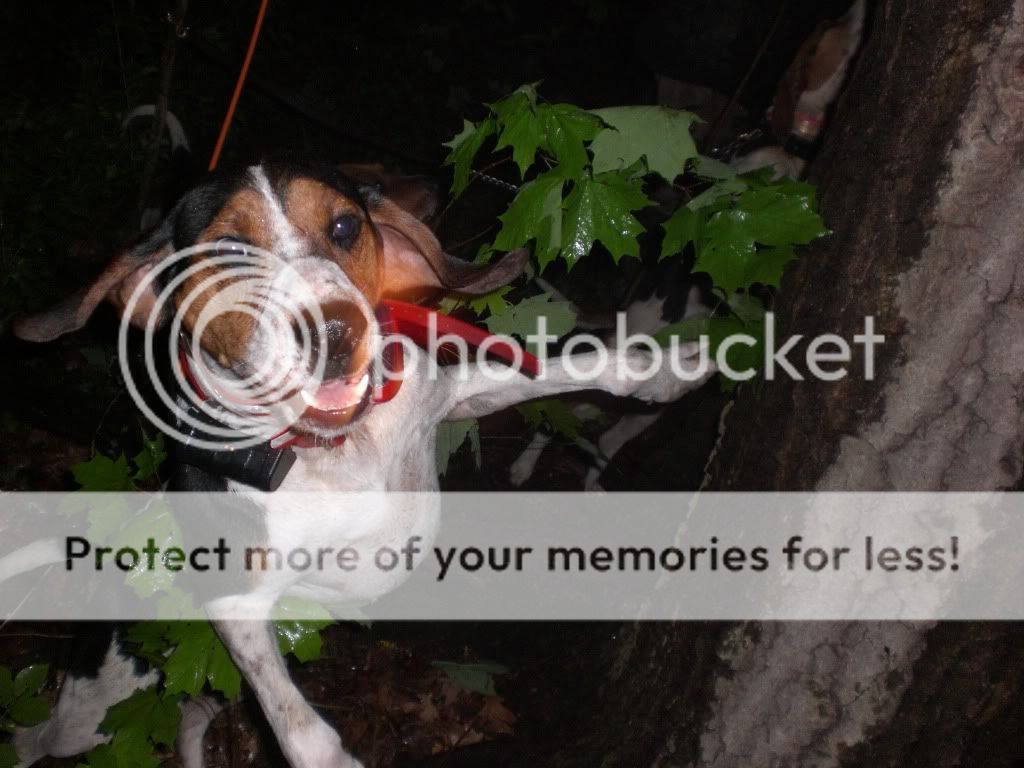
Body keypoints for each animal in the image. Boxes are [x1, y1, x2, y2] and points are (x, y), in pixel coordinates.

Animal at [7, 159, 712, 767]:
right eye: (228, 251)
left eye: (345, 226)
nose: (335, 330)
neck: (341, 448)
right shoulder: (237, 600)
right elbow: (301, 731)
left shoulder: (449, 397)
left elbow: (571, 369)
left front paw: (664, 372)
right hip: (99, 704)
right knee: (36, 738)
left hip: (196, 681)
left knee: (190, 714)